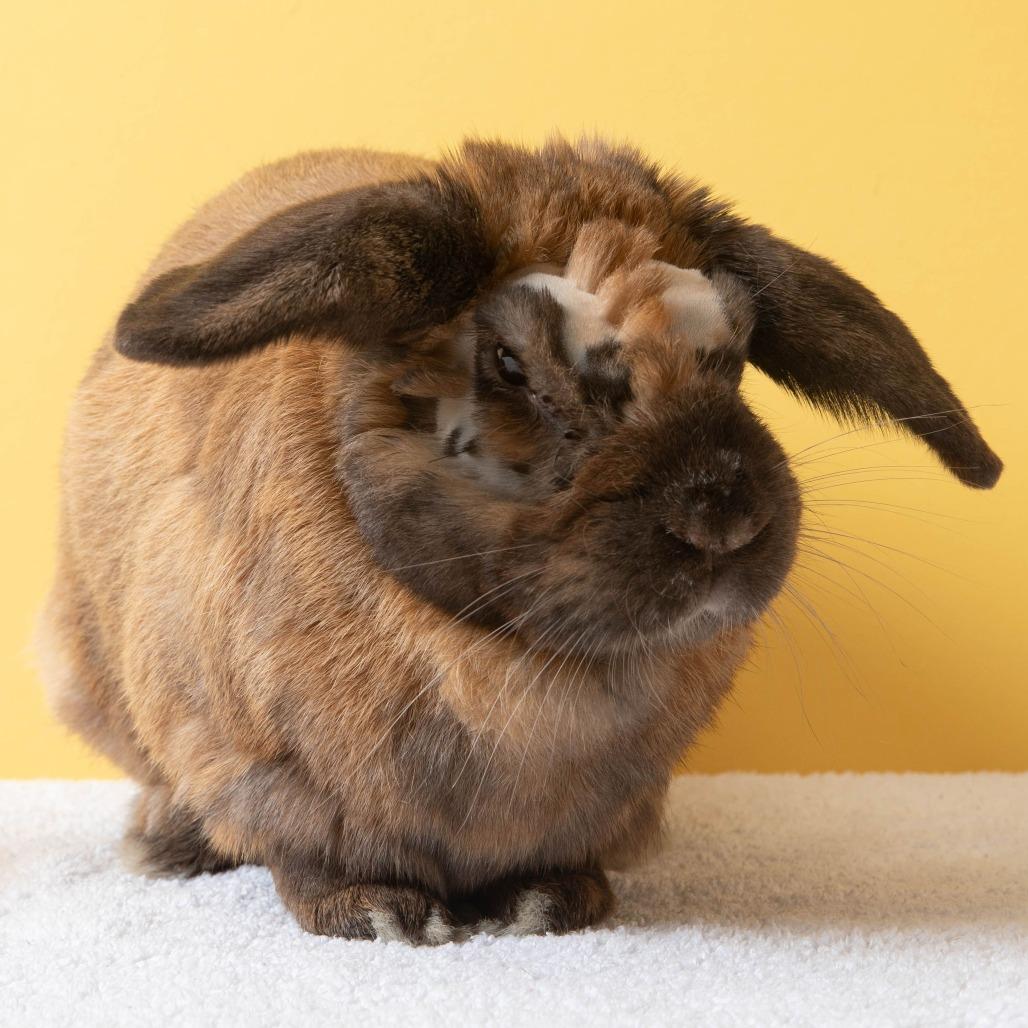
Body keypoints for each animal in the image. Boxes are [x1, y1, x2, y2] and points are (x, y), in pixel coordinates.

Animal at [37, 138, 1002, 944]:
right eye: (506, 363)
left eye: (732, 358)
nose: (722, 515)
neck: (524, 664)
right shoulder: (258, 764)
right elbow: (307, 856)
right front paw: (379, 916)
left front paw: (548, 903)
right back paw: (165, 846)